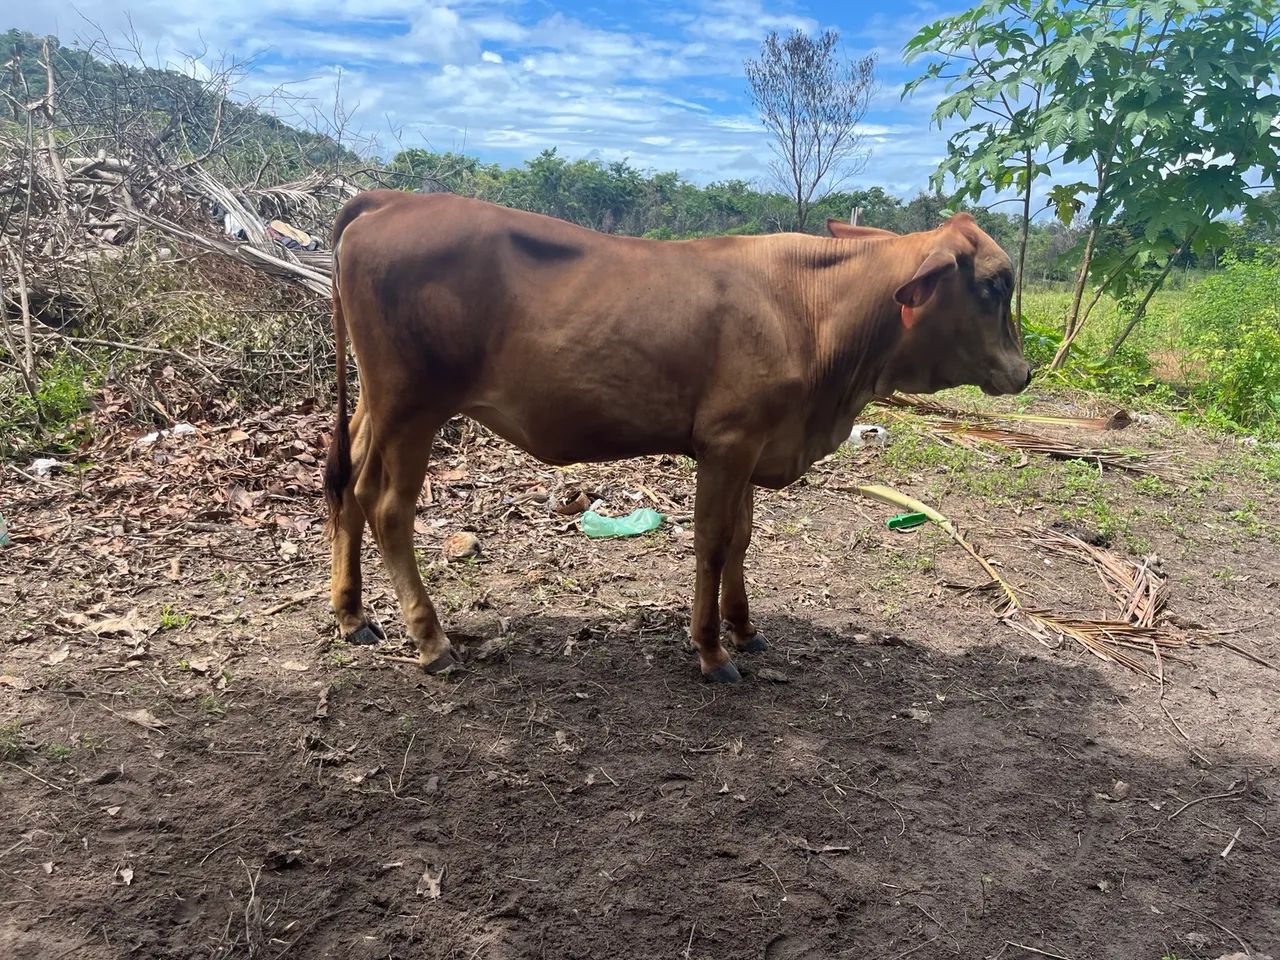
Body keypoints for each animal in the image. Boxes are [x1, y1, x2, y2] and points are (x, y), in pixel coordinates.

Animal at [323, 192, 1030, 683]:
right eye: (995, 284)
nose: (1024, 372)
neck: (808, 309)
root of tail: (389, 198)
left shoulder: (752, 446)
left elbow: (742, 539)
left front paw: (744, 628)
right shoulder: (728, 444)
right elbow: (713, 545)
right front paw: (712, 650)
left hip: (376, 408)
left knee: (345, 484)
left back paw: (353, 615)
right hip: (412, 406)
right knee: (387, 507)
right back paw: (432, 642)